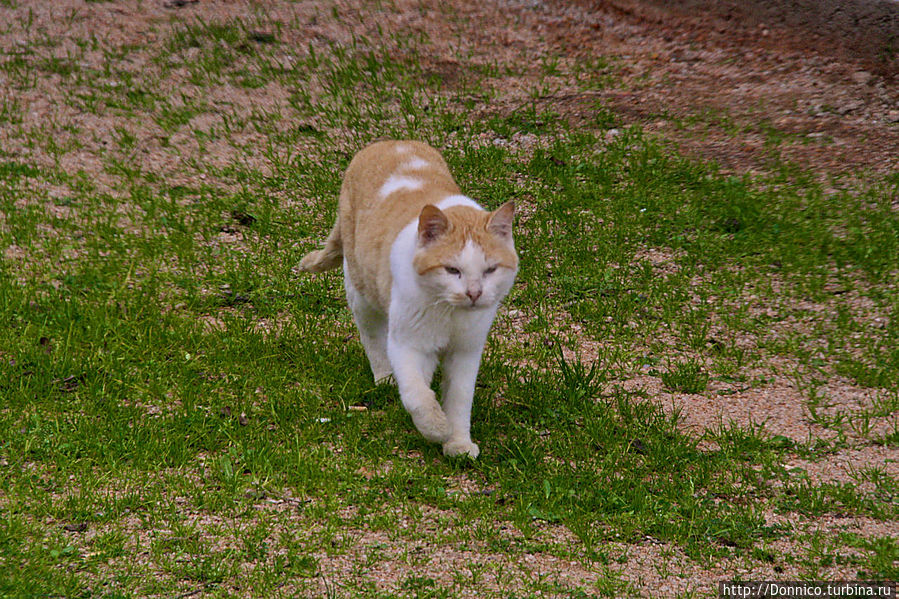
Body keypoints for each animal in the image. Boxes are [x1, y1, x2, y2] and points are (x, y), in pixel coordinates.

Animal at [298, 142, 516, 460]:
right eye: (452, 270)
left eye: (490, 270)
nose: (474, 293)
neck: (449, 313)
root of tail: (387, 142)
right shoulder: (408, 344)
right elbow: (418, 394)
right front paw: (436, 428)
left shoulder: (466, 351)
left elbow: (459, 400)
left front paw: (458, 443)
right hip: (361, 291)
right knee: (373, 339)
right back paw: (385, 378)